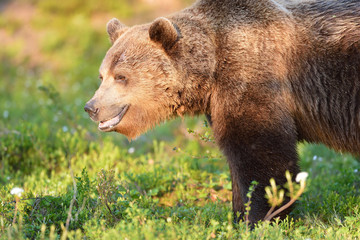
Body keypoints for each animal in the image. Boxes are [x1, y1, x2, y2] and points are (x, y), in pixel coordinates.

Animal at [85, 0, 360, 224]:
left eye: (121, 76)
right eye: (102, 75)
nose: (91, 107)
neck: (212, 66)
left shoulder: (253, 77)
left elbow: (260, 153)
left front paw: (260, 218)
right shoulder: (218, 102)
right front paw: (237, 215)